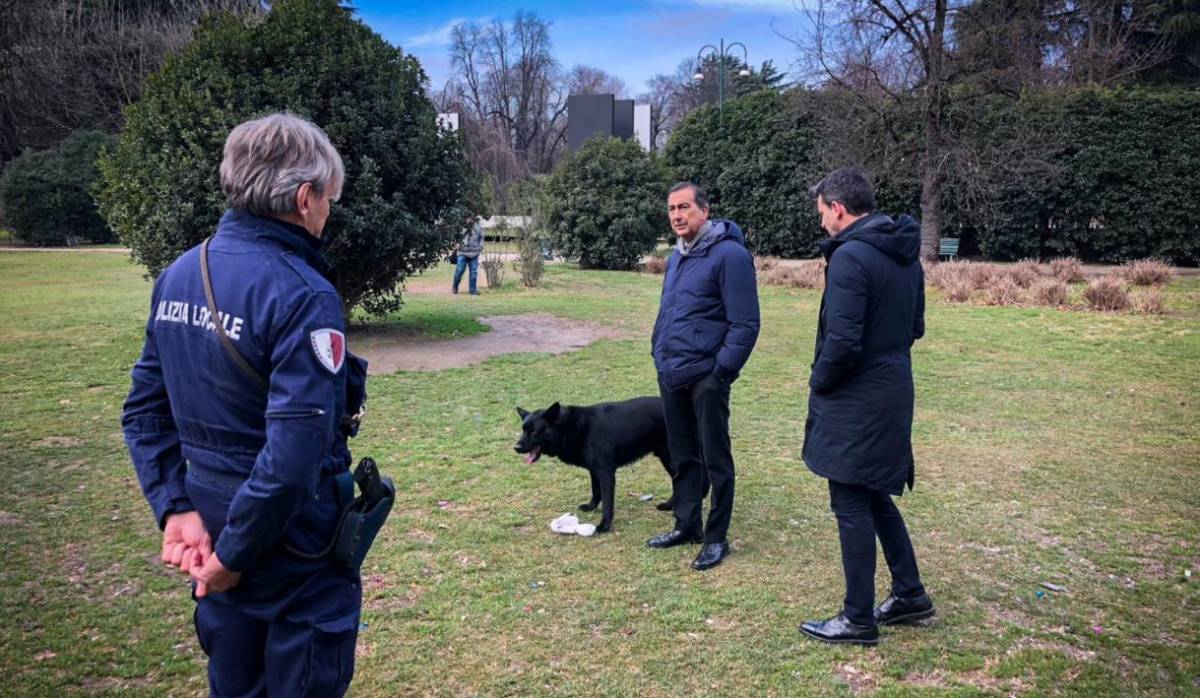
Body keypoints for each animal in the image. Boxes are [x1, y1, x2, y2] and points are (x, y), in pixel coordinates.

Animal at [516, 395, 676, 532]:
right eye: (523, 430)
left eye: (535, 432)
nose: (516, 448)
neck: (570, 428)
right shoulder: (594, 471)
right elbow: (596, 491)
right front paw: (591, 507)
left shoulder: (606, 474)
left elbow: (607, 503)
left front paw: (604, 526)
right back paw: (670, 506)